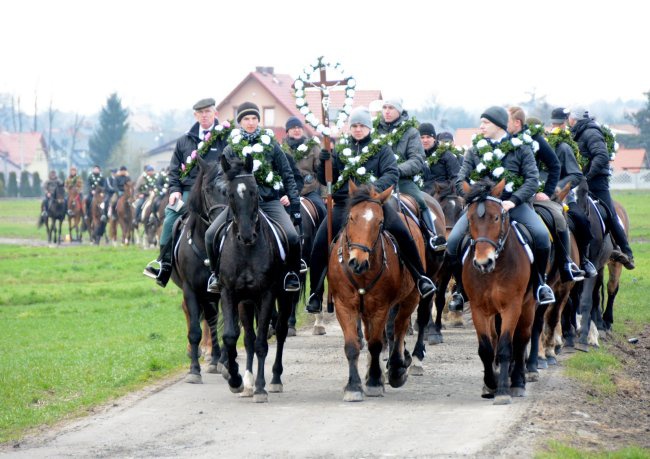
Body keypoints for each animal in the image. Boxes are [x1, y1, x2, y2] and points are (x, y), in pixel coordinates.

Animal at [171, 155, 229, 384]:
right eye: (207, 189)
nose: (220, 222)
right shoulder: (191, 288)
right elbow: (195, 329)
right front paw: (194, 370)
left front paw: (221, 360)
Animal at [218, 155, 292, 402]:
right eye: (229, 194)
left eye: (254, 191)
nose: (247, 235)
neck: (246, 251)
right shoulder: (229, 293)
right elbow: (232, 337)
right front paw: (236, 380)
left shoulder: (267, 294)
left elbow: (262, 343)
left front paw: (261, 388)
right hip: (247, 301)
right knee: (248, 338)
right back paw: (248, 382)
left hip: (284, 295)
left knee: (280, 331)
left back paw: (275, 379)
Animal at [326, 181, 422, 400]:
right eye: (351, 218)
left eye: (379, 222)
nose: (358, 262)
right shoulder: (345, 306)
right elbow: (353, 346)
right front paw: (353, 386)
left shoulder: (381, 307)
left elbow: (377, 344)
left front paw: (375, 382)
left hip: (411, 297)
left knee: (399, 326)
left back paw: (396, 369)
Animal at [464, 178, 536, 404]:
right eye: (469, 219)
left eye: (496, 217)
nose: (483, 262)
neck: (494, 270)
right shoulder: (478, 308)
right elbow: (486, 349)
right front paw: (490, 384)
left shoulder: (512, 306)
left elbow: (506, 346)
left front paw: (503, 390)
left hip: (528, 306)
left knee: (521, 340)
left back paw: (518, 382)